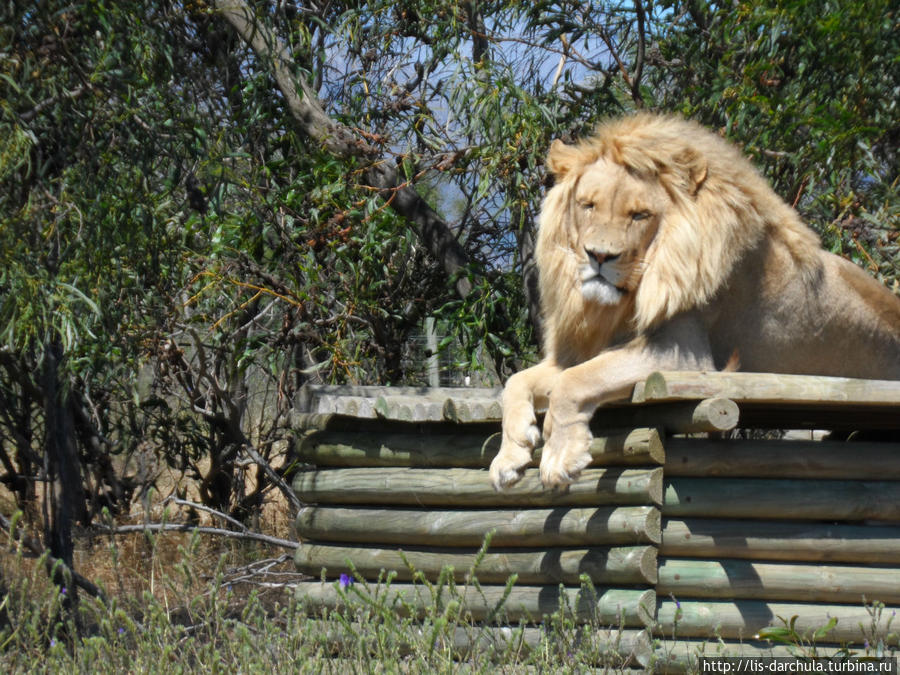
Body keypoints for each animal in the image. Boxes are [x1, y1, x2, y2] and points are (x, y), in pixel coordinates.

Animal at [492, 112, 900, 492]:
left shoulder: (682, 356)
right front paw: (510, 457)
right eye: (587, 205)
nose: (599, 256)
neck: (619, 306)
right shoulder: (578, 351)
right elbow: (516, 381)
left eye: (639, 215)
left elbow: (576, 380)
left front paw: (560, 457)